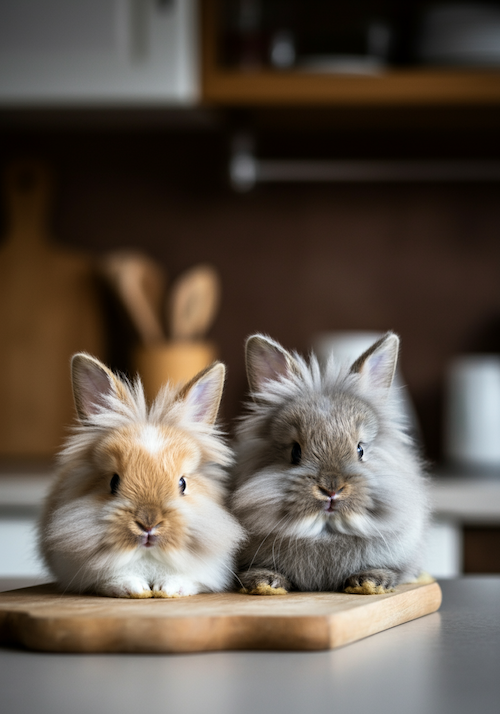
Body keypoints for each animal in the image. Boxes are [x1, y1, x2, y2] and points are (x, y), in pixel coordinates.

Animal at [230, 330, 430, 592]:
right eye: (295, 452)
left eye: (360, 450)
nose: (331, 489)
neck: (325, 531)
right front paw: (265, 582)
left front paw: (370, 581)